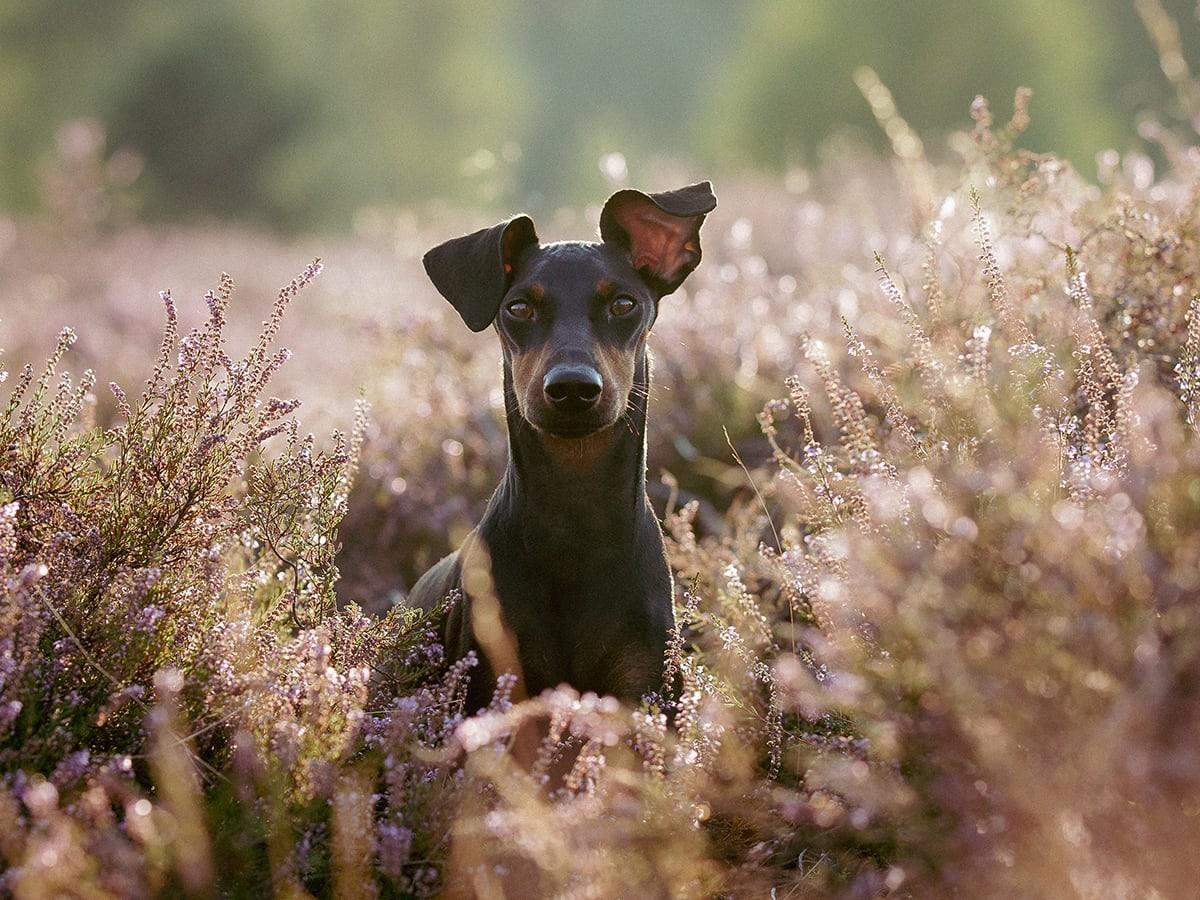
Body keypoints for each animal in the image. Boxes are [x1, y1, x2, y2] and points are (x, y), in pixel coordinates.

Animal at [408, 181, 715, 710]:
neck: (576, 521)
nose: (572, 388)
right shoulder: (495, 684)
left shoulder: (644, 688)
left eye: (624, 304)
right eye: (519, 308)